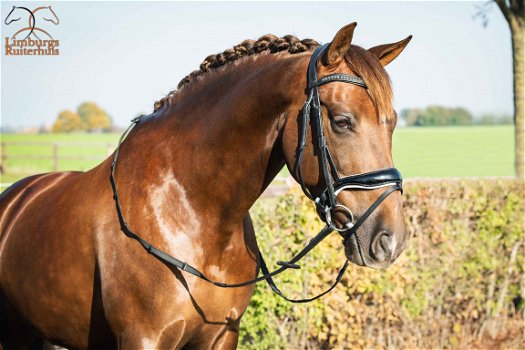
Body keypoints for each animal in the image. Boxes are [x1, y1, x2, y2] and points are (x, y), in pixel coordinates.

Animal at [0, 23, 410, 348]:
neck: (192, 211)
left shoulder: (222, 335)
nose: (389, 241)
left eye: (392, 123)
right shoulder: (143, 339)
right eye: (342, 121)